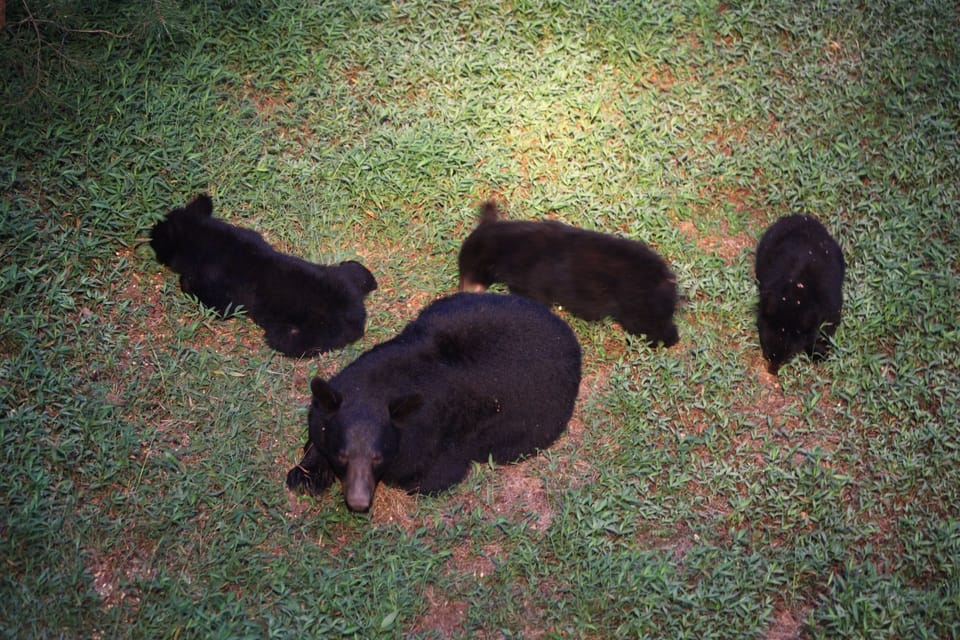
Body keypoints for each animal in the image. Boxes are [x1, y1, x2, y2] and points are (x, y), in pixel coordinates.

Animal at [150, 194, 377, 357]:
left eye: (157, 236)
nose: (149, 233)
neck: (205, 237)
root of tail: (358, 316)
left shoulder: (222, 297)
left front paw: (184, 281)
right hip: (343, 274)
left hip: (310, 331)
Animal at [286, 292, 582, 513]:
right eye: (343, 454)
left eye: (377, 457)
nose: (359, 502)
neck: (376, 387)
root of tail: (570, 337)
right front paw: (307, 474)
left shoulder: (433, 441)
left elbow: (430, 476)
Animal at [755, 214, 845, 374]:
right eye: (765, 345)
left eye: (789, 353)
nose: (773, 370)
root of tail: (802, 216)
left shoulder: (831, 303)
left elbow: (827, 327)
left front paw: (818, 353)